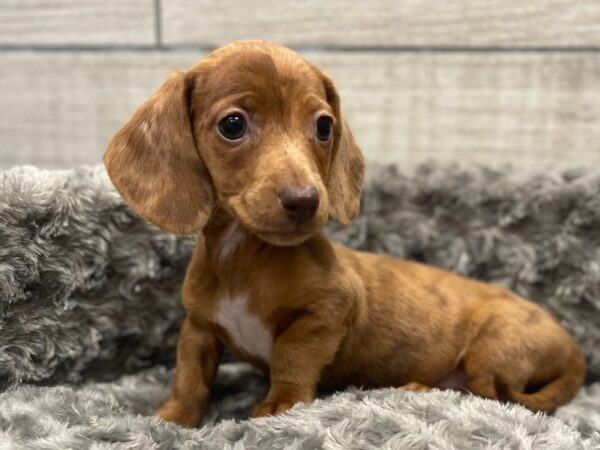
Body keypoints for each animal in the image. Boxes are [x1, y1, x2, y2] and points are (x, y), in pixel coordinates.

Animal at [105, 40, 584, 428]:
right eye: (233, 124)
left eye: (323, 126)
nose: (304, 200)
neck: (243, 258)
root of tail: (573, 346)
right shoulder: (199, 327)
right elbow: (190, 376)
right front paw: (172, 418)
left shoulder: (329, 310)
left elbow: (292, 356)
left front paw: (282, 405)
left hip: (492, 352)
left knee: (486, 394)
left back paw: (419, 389)